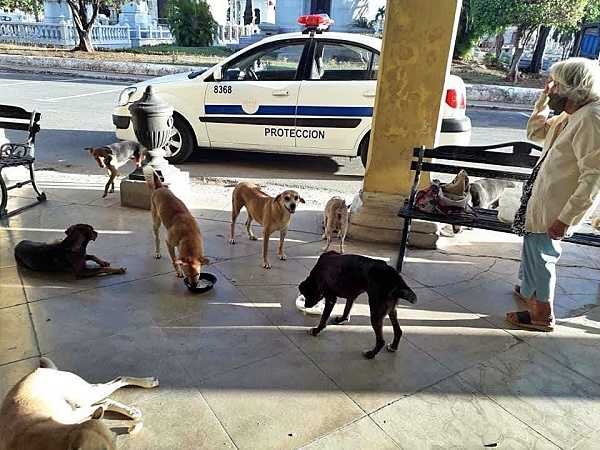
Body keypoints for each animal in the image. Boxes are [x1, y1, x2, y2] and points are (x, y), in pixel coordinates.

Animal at [0, 357, 158, 450]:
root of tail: (42, 370)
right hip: (80, 403)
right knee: (106, 401)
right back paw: (132, 412)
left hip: (83, 395)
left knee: (120, 379)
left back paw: (147, 383)